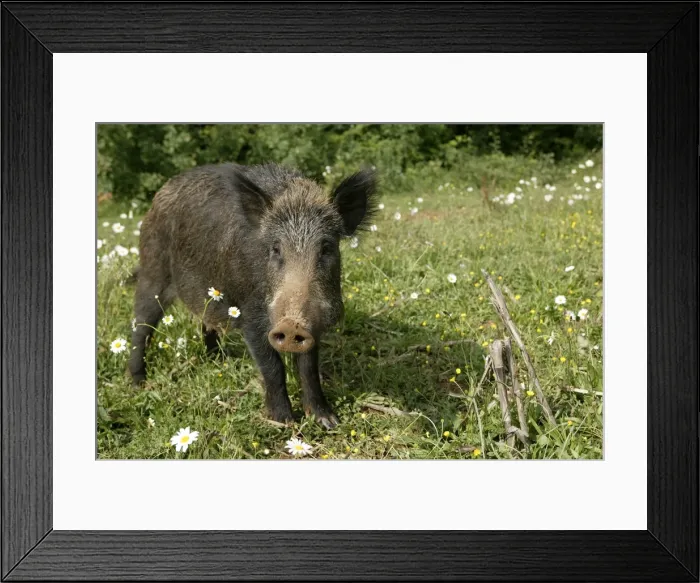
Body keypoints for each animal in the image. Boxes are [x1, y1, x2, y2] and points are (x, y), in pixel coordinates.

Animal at [128, 163, 377, 429]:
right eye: (275, 248)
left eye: (326, 248)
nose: (292, 324)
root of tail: (159, 196)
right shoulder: (250, 313)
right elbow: (272, 366)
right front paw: (284, 422)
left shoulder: (314, 324)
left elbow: (309, 367)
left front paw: (328, 422)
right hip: (153, 270)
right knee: (141, 326)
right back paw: (138, 383)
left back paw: (220, 361)